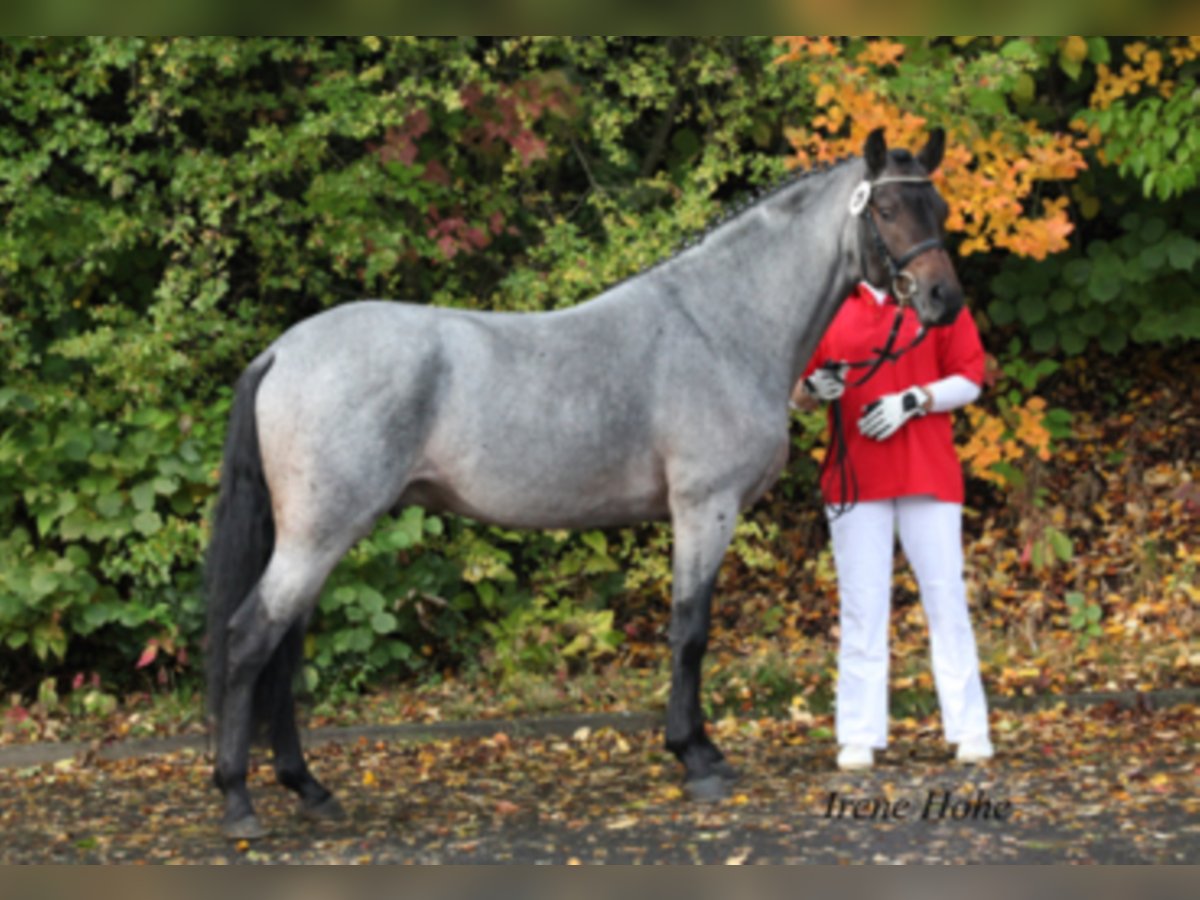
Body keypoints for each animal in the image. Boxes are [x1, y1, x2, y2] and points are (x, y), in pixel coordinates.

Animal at [201, 125, 960, 840]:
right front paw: (694, 758)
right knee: (250, 639)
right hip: (320, 533)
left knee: (283, 649)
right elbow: (690, 631)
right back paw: (238, 800)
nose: (942, 299)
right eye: (886, 208)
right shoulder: (704, 510)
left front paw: (703, 750)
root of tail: (281, 351)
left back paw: (308, 787)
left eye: (940, 206)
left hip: (317, 537)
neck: (718, 326)